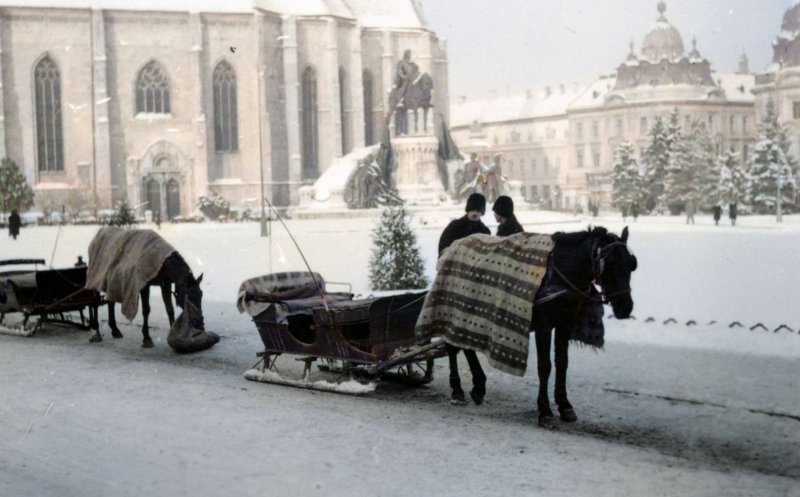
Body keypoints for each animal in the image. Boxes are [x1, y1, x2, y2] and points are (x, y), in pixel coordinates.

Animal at [446, 226, 636, 422]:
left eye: (631, 264)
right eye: (610, 264)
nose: (625, 307)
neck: (560, 272)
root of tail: (452, 245)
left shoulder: (565, 323)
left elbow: (562, 362)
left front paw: (564, 404)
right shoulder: (544, 324)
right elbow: (545, 365)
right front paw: (544, 409)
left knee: (465, 346)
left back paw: (478, 386)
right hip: (453, 306)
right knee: (452, 347)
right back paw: (457, 390)